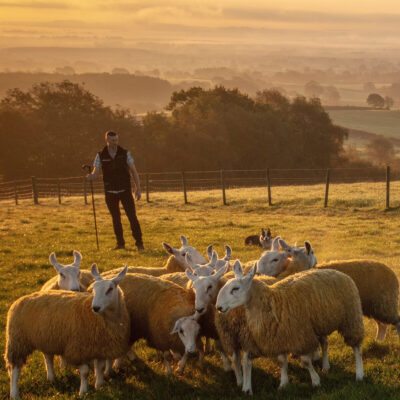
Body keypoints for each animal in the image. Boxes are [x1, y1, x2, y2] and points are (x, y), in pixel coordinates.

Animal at [5, 264, 130, 398]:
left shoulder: (101, 347)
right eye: (94, 289)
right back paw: (14, 393)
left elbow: (100, 368)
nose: (95, 307)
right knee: (15, 368)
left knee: (48, 357)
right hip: (18, 340)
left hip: (46, 337)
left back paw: (51, 377)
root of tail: (22, 298)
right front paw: (83, 392)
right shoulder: (79, 348)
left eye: (110, 289)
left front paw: (99, 386)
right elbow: (84, 372)